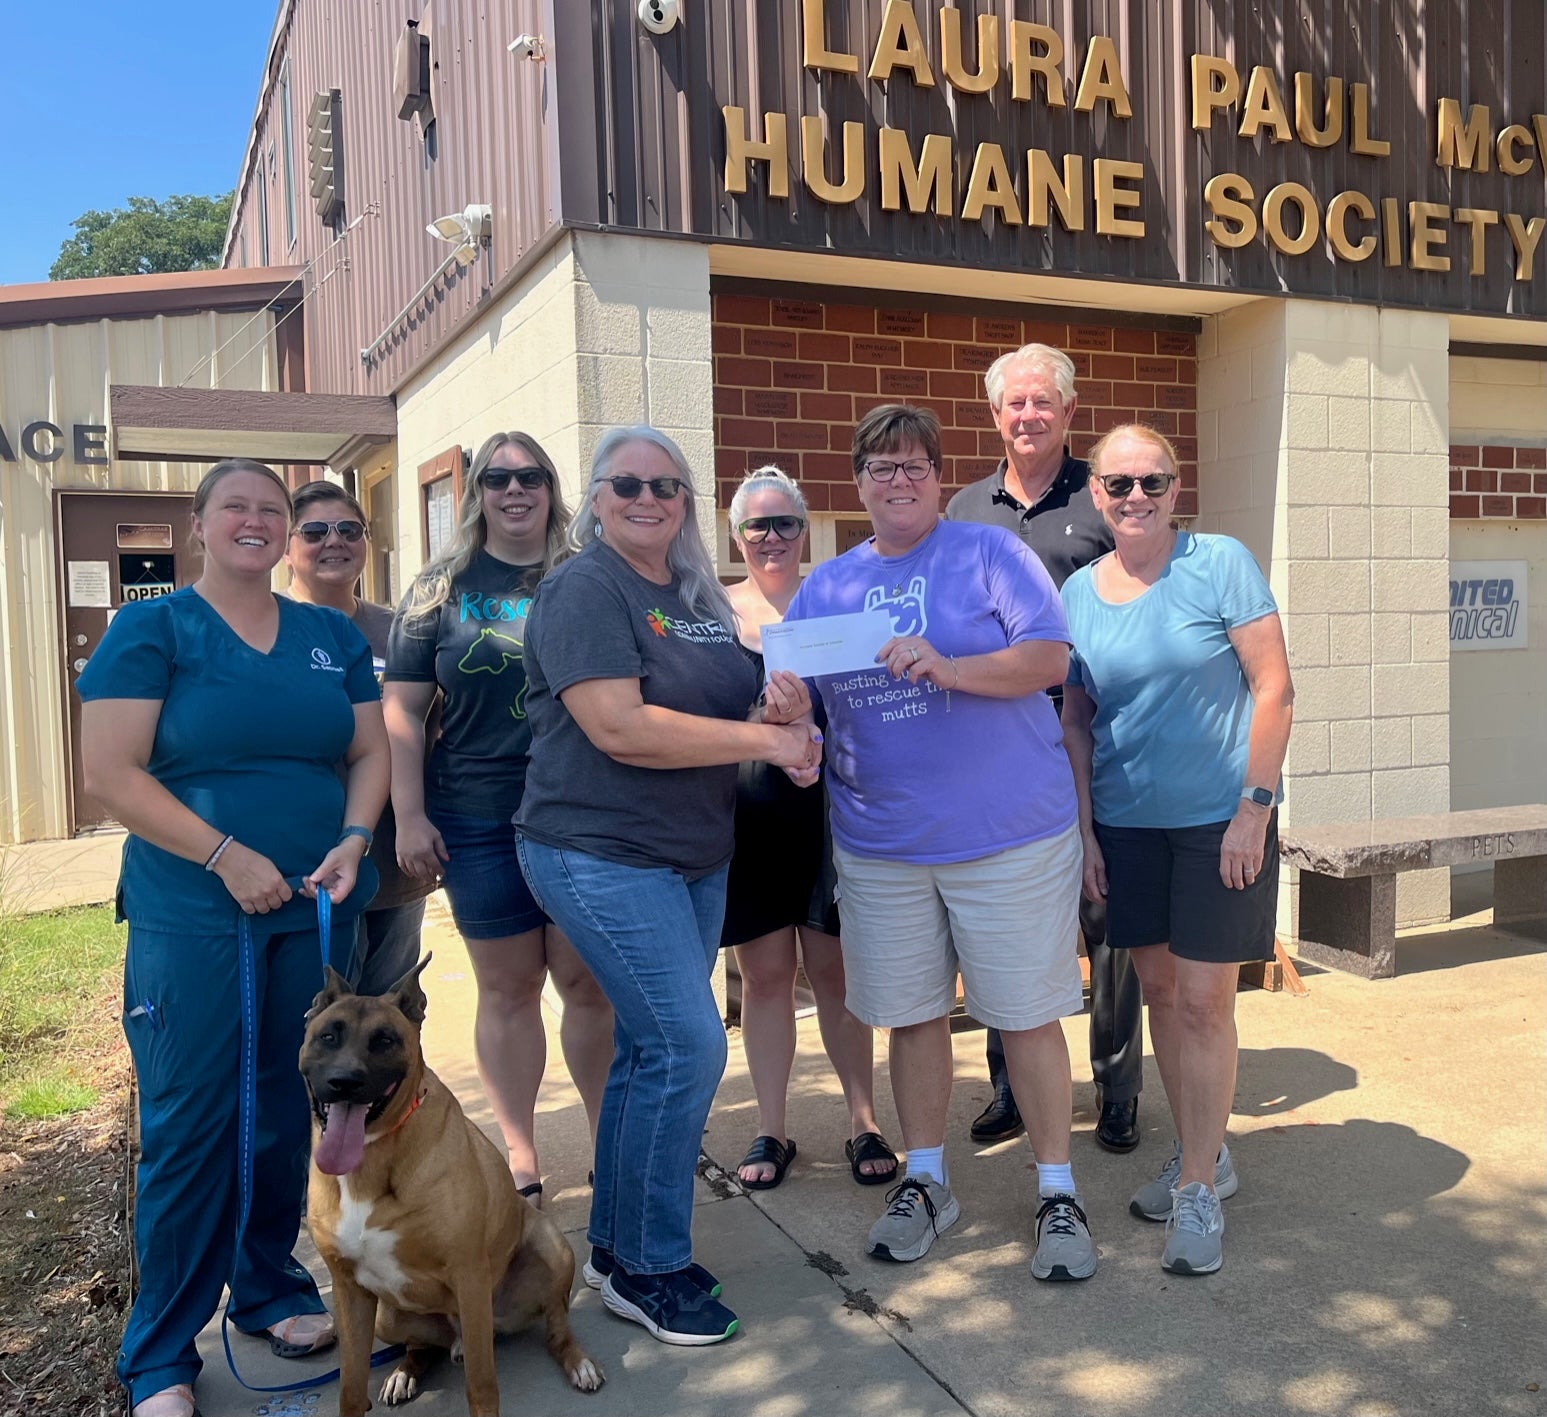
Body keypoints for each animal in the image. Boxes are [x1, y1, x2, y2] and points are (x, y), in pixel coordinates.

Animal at [298, 959, 600, 1410]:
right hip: (386, 1315)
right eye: (328, 1036)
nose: (344, 1081)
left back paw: (578, 1363)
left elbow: (481, 1384)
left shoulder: (469, 1276)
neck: (371, 1161)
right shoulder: (349, 1289)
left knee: (556, 1328)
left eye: (384, 1040)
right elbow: (350, 1388)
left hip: (551, 1251)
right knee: (421, 1347)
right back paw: (403, 1374)